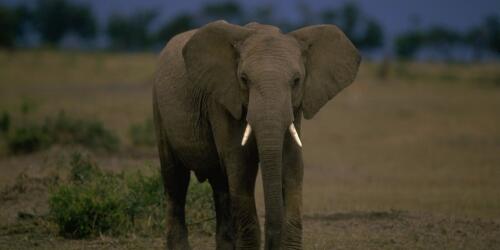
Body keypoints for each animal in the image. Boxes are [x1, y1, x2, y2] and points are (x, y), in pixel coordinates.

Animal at [152, 20, 360, 250]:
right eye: (244, 79)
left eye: (296, 80)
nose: (271, 244)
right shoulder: (222, 101)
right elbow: (240, 165)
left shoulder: (294, 107)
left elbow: (292, 164)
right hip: (159, 108)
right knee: (176, 182)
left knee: (220, 186)